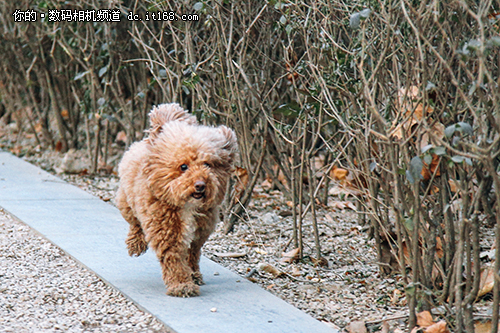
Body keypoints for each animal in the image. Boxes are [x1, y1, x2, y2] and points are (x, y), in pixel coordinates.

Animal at [116, 103, 237, 296]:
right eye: (183, 166)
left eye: (208, 164)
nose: (200, 185)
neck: (187, 206)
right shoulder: (167, 232)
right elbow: (174, 260)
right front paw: (182, 284)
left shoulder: (198, 235)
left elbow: (191, 255)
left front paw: (193, 275)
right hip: (127, 202)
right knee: (134, 222)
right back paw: (136, 243)